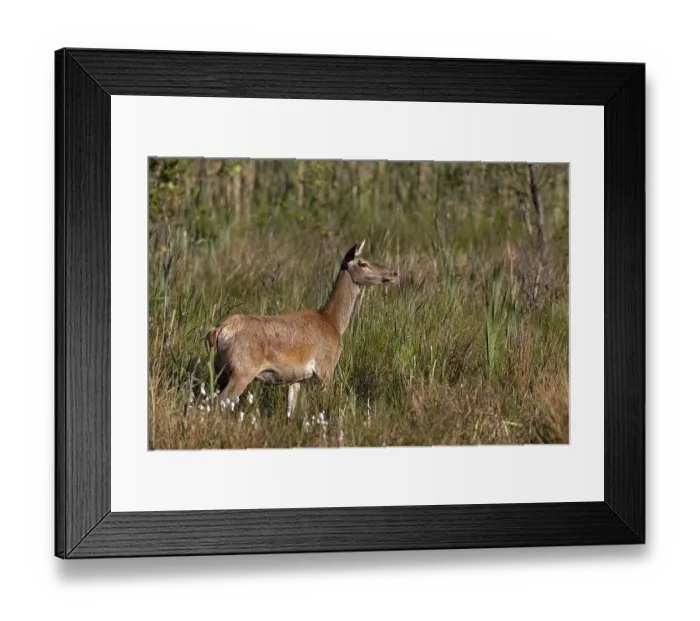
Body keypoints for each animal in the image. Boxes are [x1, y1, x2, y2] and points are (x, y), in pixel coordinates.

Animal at [205, 240, 399, 420]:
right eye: (363, 263)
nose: (393, 273)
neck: (333, 321)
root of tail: (218, 330)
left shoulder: (295, 379)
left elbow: (290, 411)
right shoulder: (326, 366)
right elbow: (327, 404)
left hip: (221, 370)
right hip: (242, 371)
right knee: (219, 401)